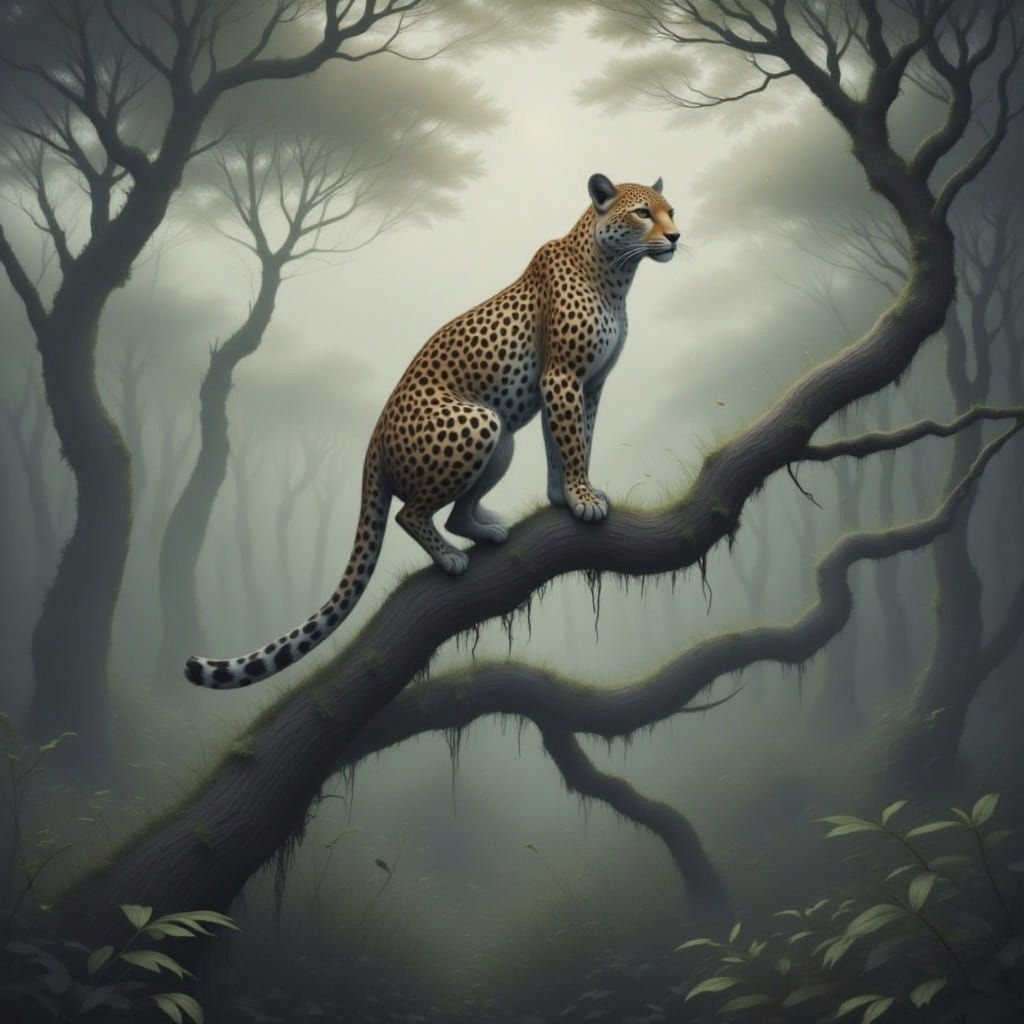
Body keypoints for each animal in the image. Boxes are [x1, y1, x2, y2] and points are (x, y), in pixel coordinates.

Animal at [185, 173, 679, 689]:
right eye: (643, 212)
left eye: (672, 211)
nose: (676, 237)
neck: (614, 275)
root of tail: (373, 441)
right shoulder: (562, 378)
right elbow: (572, 442)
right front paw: (582, 499)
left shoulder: (587, 384)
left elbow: (567, 442)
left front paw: (566, 496)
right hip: (481, 422)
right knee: (410, 513)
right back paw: (450, 557)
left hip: (501, 439)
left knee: (455, 514)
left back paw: (484, 531)